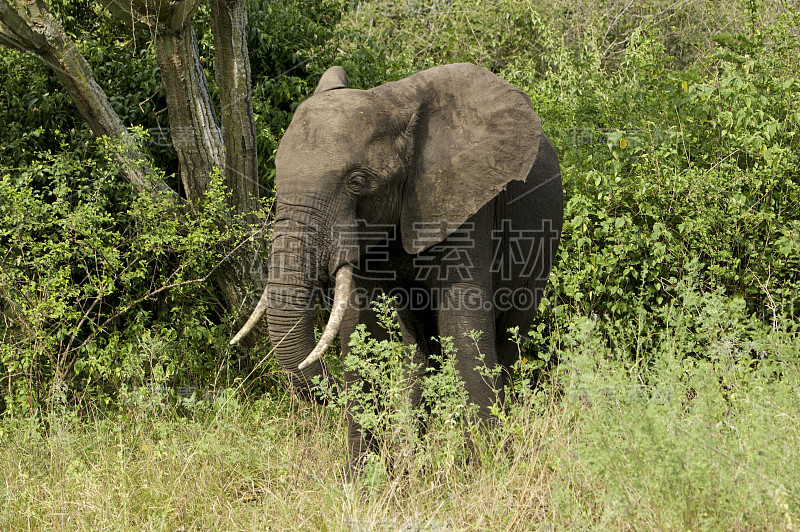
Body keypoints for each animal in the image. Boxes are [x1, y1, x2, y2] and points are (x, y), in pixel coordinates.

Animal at [233, 63, 564, 470]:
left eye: (357, 182)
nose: (331, 387)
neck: (392, 102)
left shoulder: (467, 202)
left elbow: (463, 324)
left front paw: (491, 468)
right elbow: (357, 327)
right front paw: (362, 478)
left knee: (506, 339)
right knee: (419, 345)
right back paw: (410, 454)